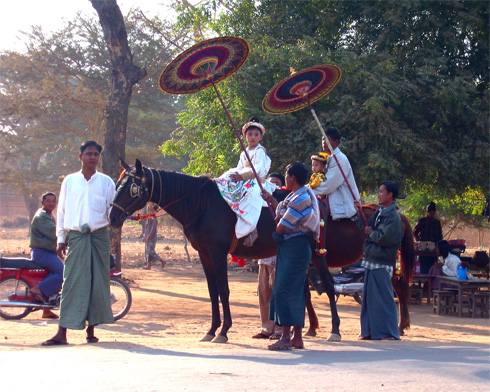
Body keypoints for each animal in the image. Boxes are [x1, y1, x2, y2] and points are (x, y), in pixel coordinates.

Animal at [108, 161, 414, 342]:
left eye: (131, 187)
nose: (112, 216)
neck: (202, 204)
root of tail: (397, 212)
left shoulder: (218, 254)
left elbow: (224, 291)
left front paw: (224, 331)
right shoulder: (205, 255)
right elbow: (212, 292)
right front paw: (211, 329)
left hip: (325, 255)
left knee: (360, 287)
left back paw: (357, 329)